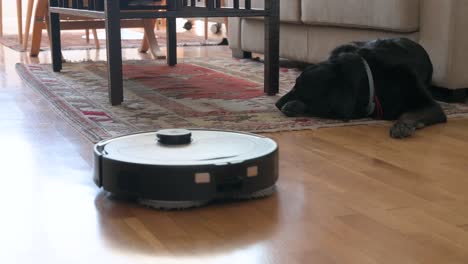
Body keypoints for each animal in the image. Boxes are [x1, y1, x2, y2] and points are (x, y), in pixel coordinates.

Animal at [276, 38, 448, 140]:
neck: (371, 78)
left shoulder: (431, 106)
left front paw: (403, 125)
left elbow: (409, 113)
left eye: (300, 88)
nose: (276, 104)